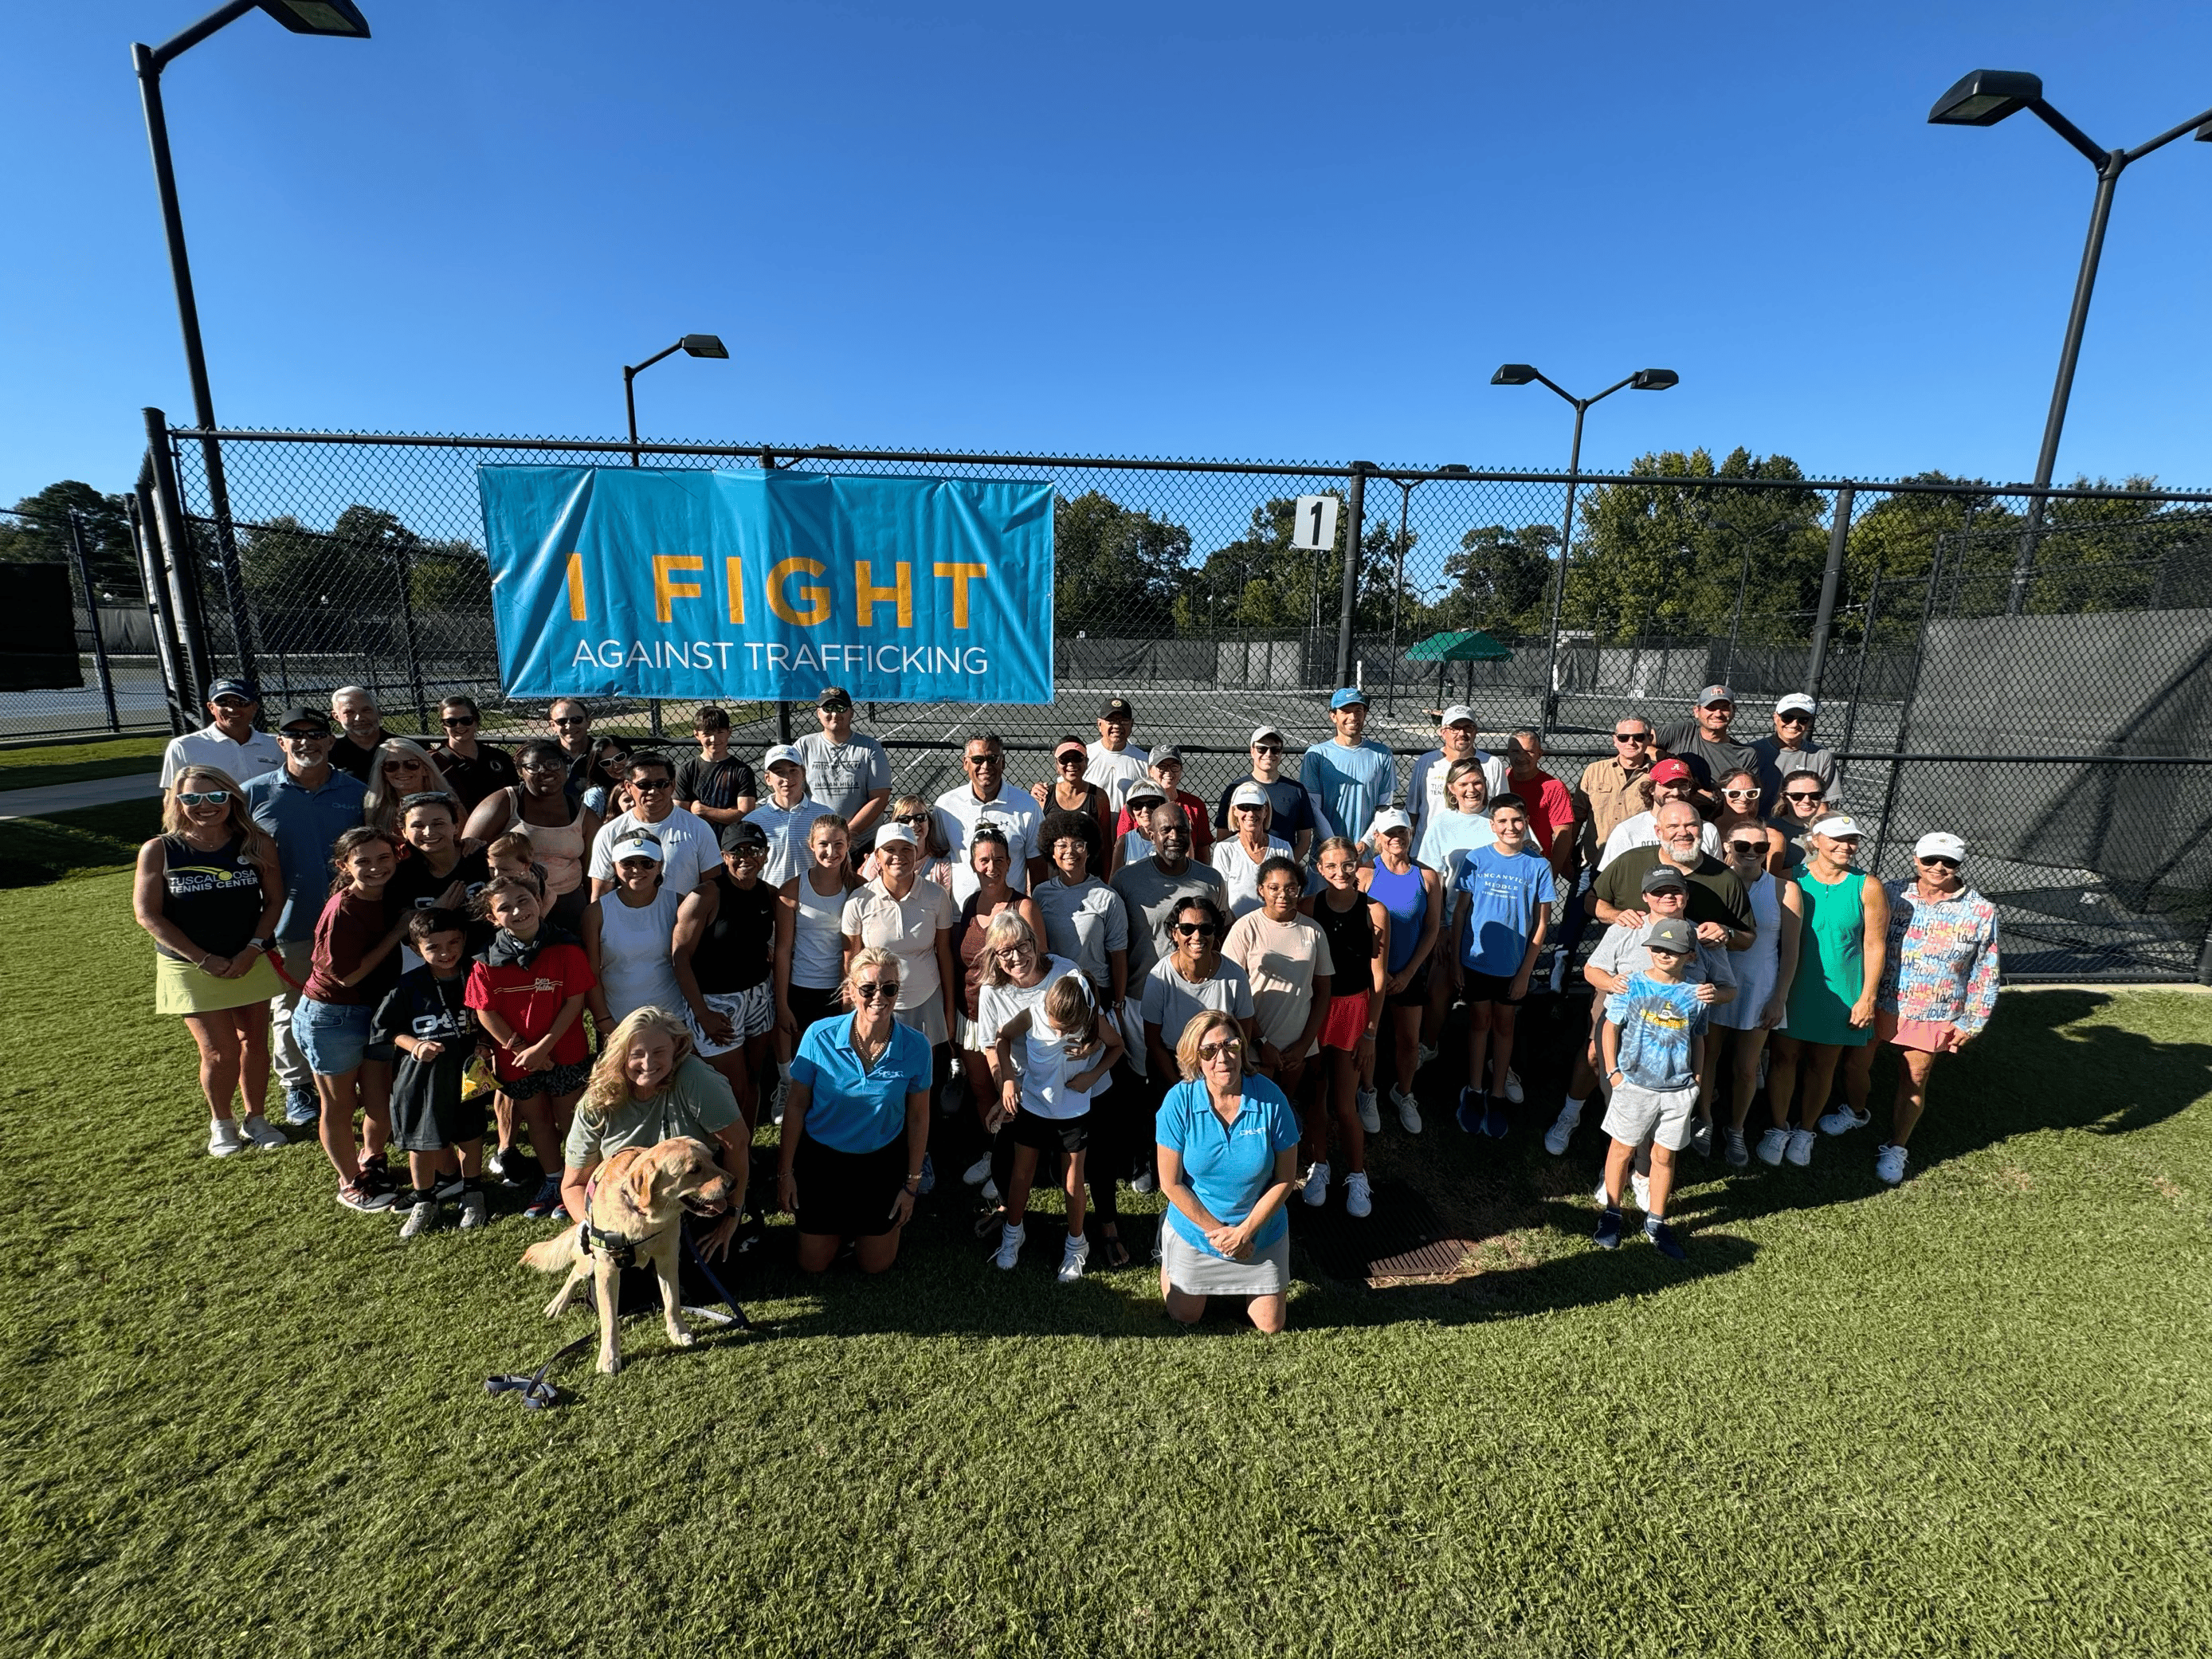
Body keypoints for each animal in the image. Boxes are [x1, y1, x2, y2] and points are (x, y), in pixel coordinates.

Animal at [517, 1141, 734, 1380]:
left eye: (712, 1158)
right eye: (694, 1169)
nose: (733, 1183)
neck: (643, 1217)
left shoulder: (667, 1257)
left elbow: (672, 1302)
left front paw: (678, 1331)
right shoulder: (607, 1270)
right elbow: (610, 1320)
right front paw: (609, 1357)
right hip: (590, 1260)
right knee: (575, 1272)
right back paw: (559, 1303)